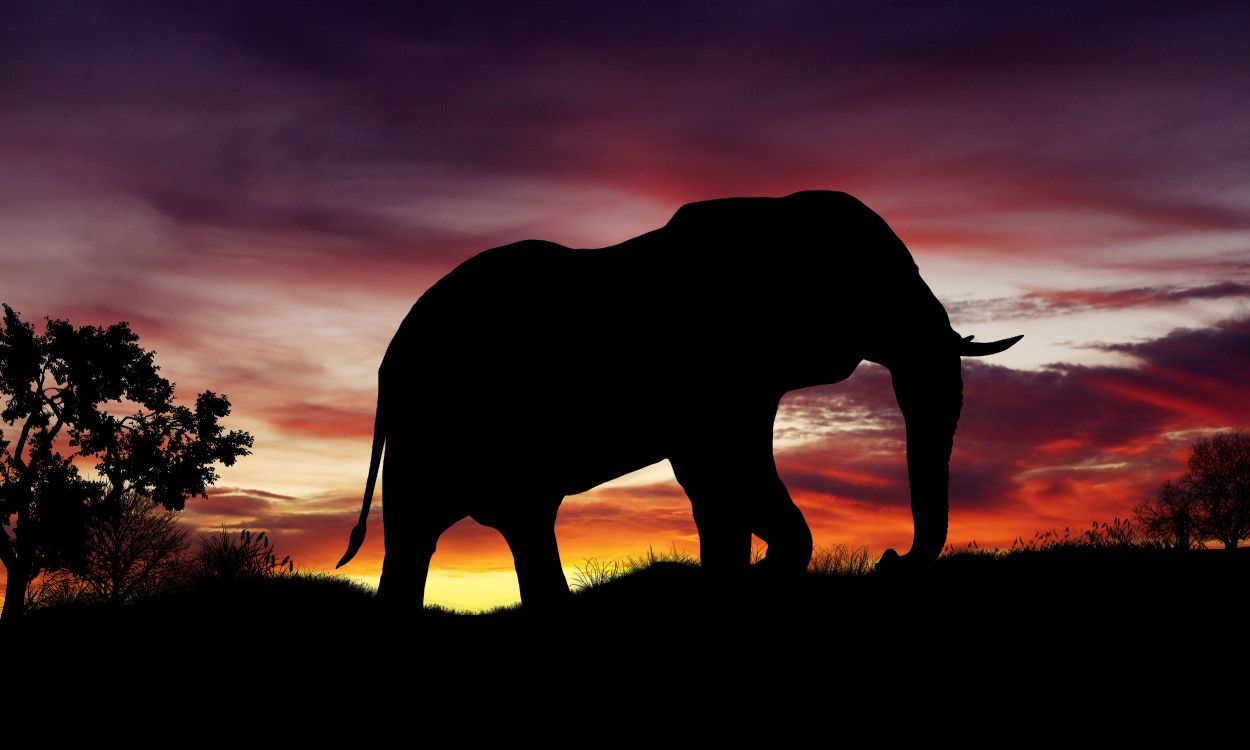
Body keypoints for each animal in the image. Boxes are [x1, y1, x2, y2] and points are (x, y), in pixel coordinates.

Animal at [336, 190, 1020, 609]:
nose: (887, 559)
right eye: (876, 279)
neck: (774, 212)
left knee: (516, 521)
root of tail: (389, 356)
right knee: (423, 529)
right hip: (432, 420)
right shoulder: (711, 371)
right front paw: (753, 576)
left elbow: (721, 482)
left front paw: (739, 579)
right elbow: (722, 472)